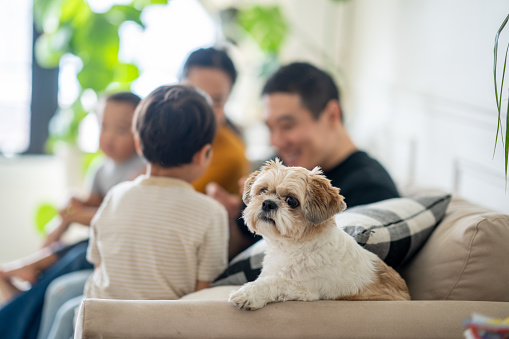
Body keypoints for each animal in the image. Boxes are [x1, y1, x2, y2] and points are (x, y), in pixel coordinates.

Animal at [228, 161, 410, 312]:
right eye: (263, 190)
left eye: (291, 201)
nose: (268, 203)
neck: (292, 246)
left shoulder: (305, 289)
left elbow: (274, 282)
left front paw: (248, 294)